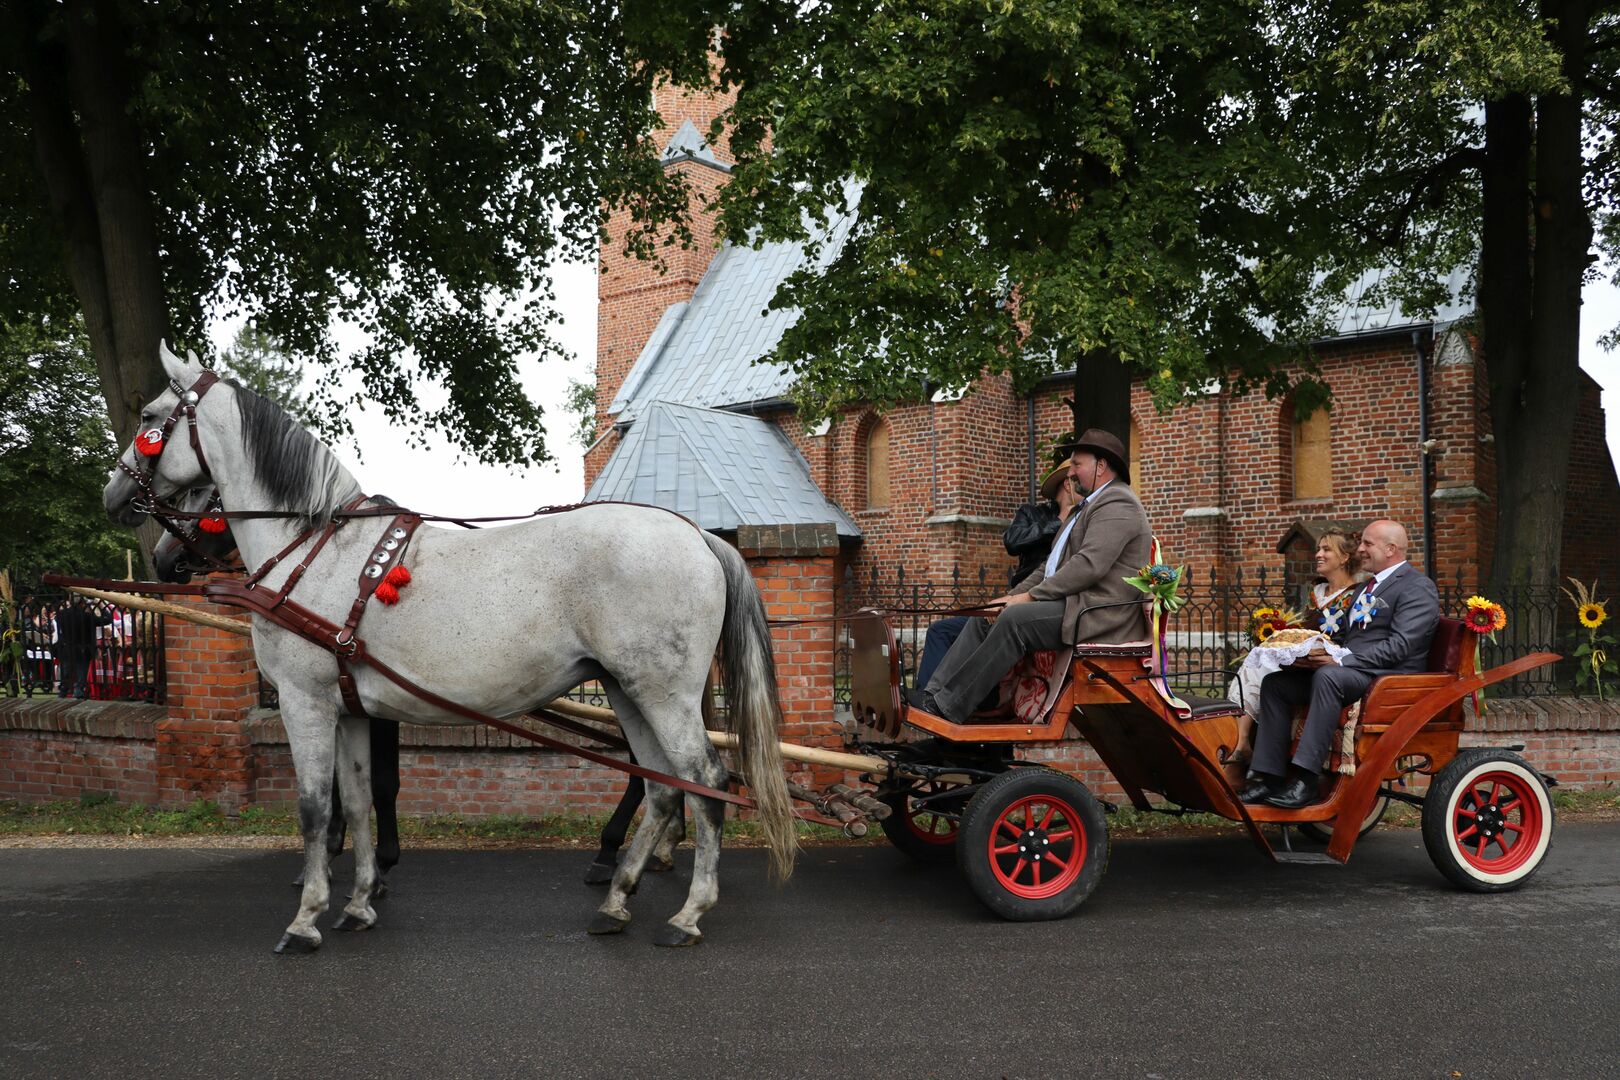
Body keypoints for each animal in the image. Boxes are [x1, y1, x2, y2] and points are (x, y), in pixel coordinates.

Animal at [105, 343, 797, 951]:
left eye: (150, 418)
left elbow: (314, 809)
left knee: (707, 781)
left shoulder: (307, 702)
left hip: (663, 693)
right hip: (628, 691)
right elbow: (358, 802)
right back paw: (616, 900)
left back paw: (688, 914)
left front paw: (306, 919)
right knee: (661, 788)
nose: (115, 497)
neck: (315, 545)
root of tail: (698, 534)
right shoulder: (351, 710)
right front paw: (358, 903)